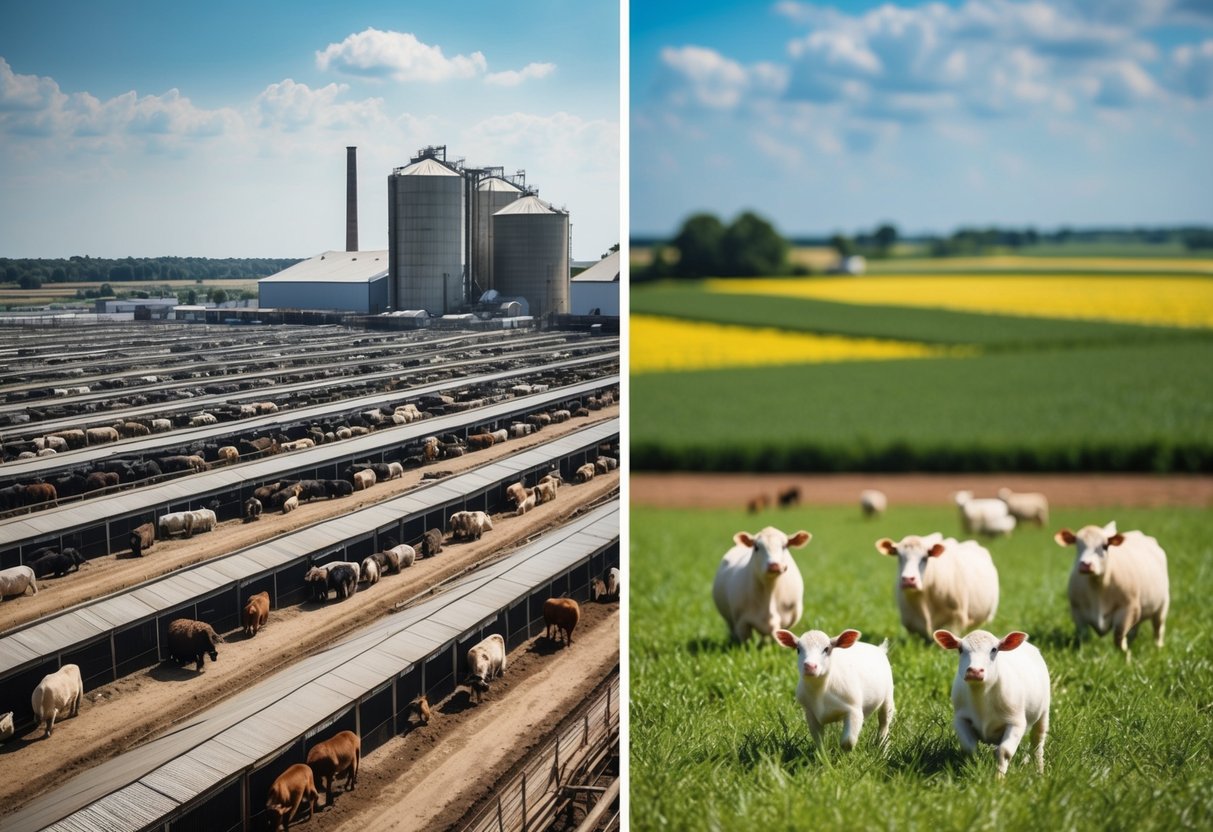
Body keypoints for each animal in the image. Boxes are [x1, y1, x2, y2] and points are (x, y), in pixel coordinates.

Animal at [931, 630, 1048, 781]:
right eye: (960, 649)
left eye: (994, 650)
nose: (975, 671)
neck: (981, 698)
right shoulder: (960, 719)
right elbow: (970, 748)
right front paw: (974, 769)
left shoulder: (1016, 722)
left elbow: (1004, 751)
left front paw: (999, 779)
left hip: (1044, 711)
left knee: (1037, 744)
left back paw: (1040, 772)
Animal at [1057, 523, 1169, 659]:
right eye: (1077, 545)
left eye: (1105, 546)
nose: (1085, 565)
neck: (1098, 587)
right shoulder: (1077, 610)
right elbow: (1083, 635)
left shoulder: (1128, 608)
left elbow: (1118, 635)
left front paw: (1126, 656)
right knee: (1134, 631)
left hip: (1162, 606)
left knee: (1158, 629)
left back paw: (1158, 648)